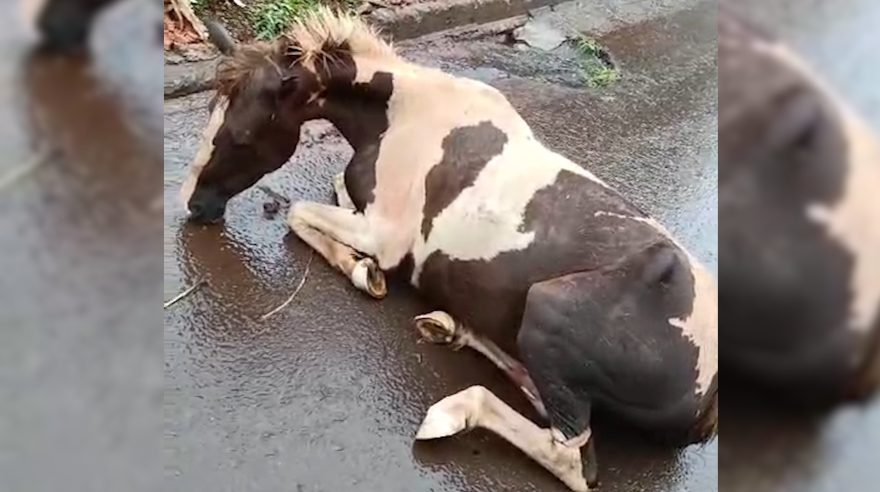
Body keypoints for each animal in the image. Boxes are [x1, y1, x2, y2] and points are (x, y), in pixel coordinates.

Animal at [181, 9, 718, 491]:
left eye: (241, 134)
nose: (194, 205)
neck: (401, 115)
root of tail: (707, 405)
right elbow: (331, 190)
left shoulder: (383, 235)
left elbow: (297, 214)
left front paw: (364, 272)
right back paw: (448, 326)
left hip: (548, 311)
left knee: (571, 457)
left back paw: (451, 411)